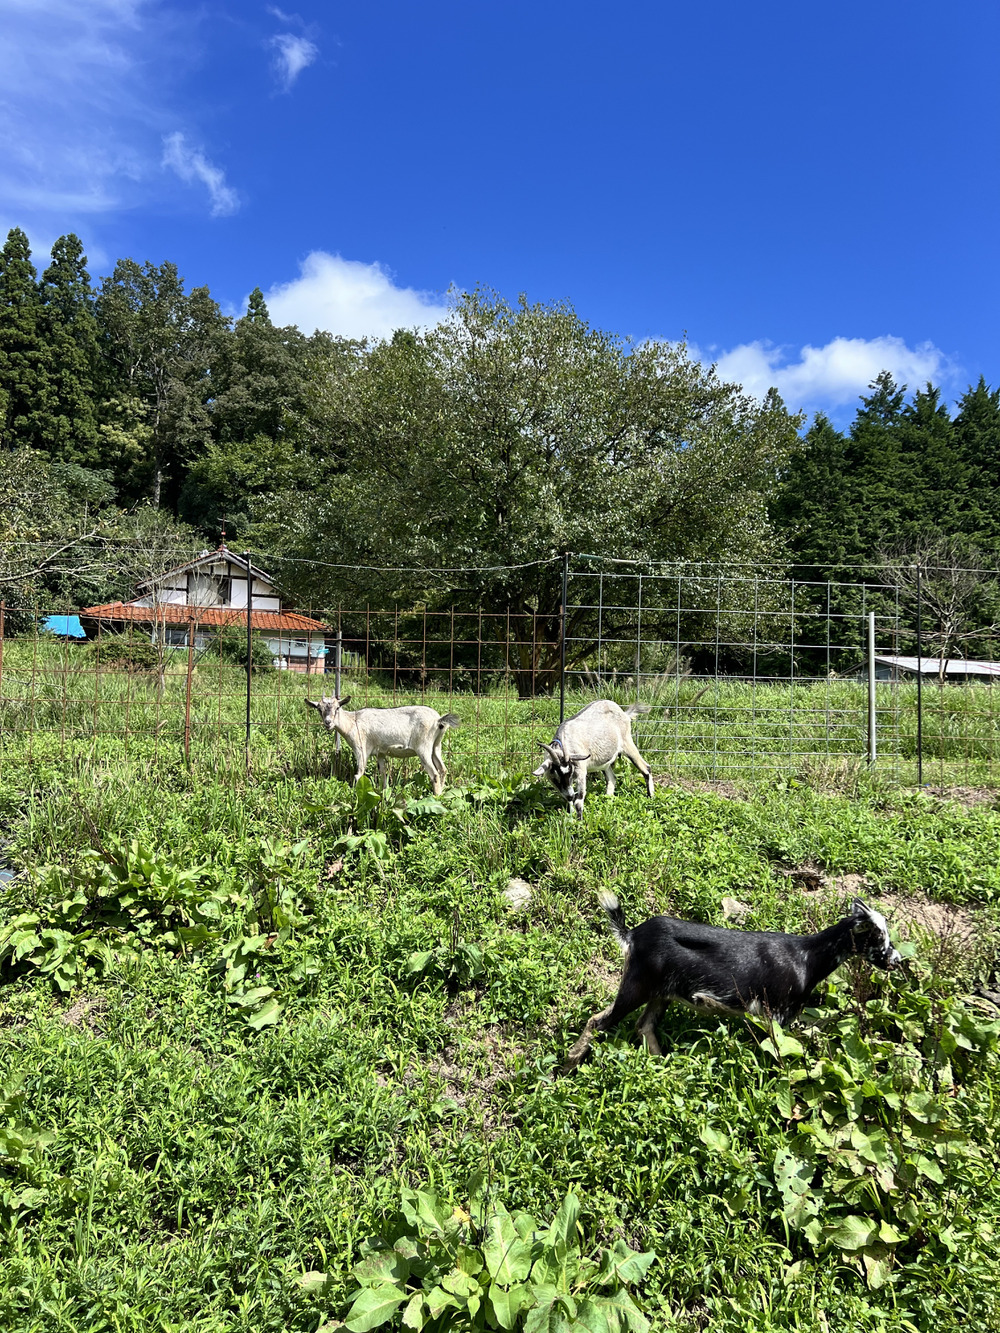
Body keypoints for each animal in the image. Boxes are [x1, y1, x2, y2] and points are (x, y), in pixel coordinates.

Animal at [305, 695, 461, 795]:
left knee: (434, 774)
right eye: (319, 709)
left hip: (423, 747)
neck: (352, 722)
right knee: (442, 769)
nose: (328, 723)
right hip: (436, 746)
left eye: (337, 708)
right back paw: (442, 794)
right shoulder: (380, 752)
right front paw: (384, 794)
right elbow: (383, 773)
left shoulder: (361, 749)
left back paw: (436, 797)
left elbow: (359, 774)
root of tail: (438, 720)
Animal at [563, 893, 901, 1071]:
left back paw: (666, 1069)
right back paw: (568, 1065)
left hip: (662, 992)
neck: (806, 958)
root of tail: (632, 934)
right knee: (598, 1021)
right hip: (638, 984)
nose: (897, 960)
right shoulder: (776, 1013)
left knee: (644, 1026)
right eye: (878, 935)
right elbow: (778, 1052)